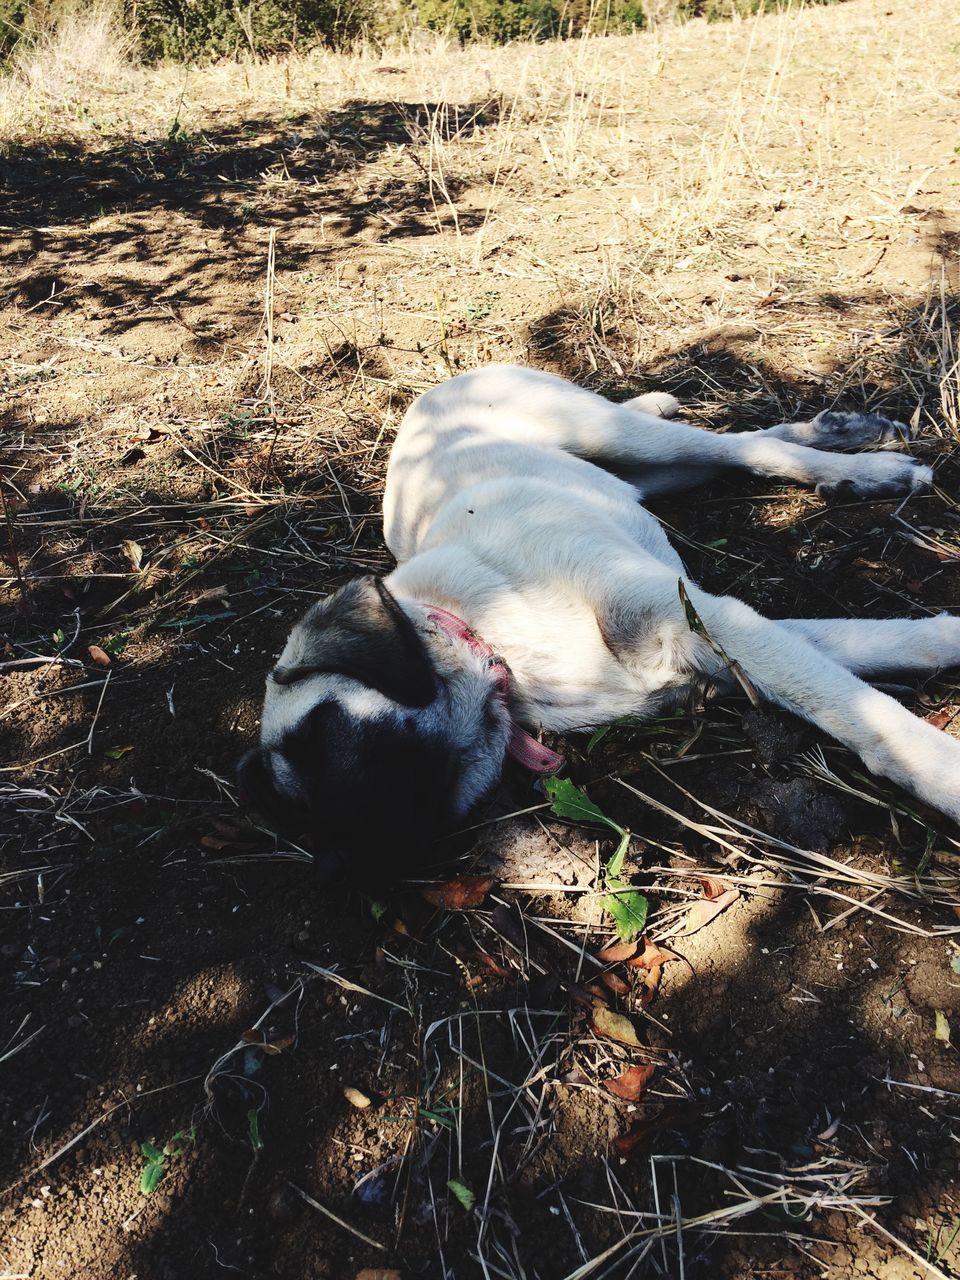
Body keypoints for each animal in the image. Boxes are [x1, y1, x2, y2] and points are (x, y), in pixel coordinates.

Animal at [239, 366, 960, 875]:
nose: (338, 868)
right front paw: (945, 636)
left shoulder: (699, 617)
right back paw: (845, 438)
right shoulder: (720, 648)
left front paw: (944, 775)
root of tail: (434, 390)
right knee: (742, 445)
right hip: (647, 471)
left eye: (322, 735)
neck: (494, 639)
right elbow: (864, 650)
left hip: (607, 434)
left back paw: (869, 467)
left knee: (741, 449)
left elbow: (864, 716)